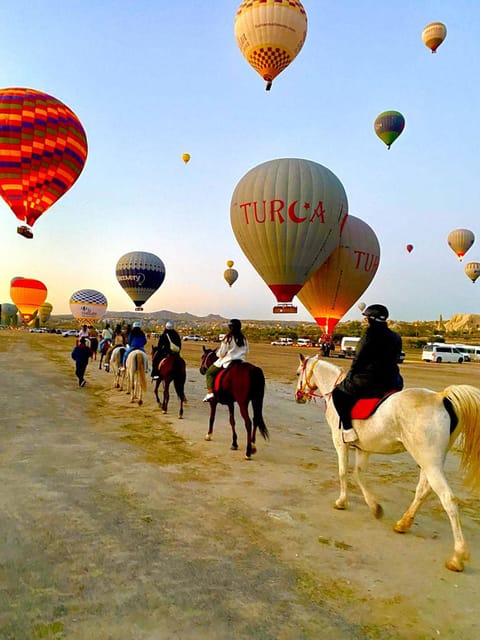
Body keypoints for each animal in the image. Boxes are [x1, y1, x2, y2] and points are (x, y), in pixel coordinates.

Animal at [294, 352, 480, 572]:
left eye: (298, 373)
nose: (298, 396)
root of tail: (439, 397)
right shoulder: (364, 449)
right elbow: (358, 474)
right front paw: (375, 507)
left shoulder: (340, 443)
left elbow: (343, 472)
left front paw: (341, 502)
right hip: (428, 462)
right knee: (423, 491)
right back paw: (403, 524)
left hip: (430, 462)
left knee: (448, 499)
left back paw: (457, 557)